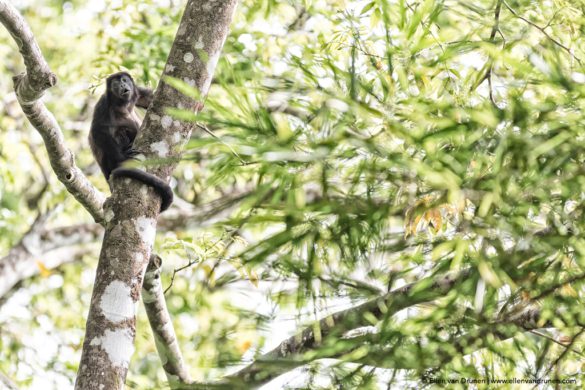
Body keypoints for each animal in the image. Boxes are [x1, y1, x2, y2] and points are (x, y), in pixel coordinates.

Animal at [88, 73, 172, 213]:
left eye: (124, 80)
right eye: (116, 83)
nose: (122, 84)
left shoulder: (138, 92)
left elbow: (150, 98)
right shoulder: (103, 102)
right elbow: (98, 130)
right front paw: (123, 157)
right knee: (119, 130)